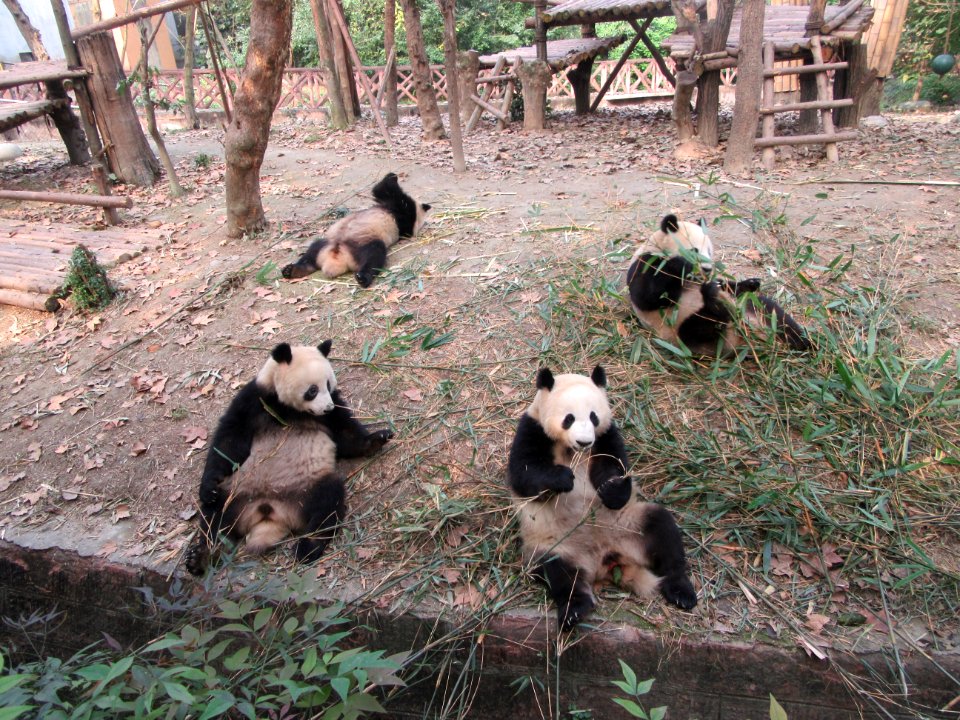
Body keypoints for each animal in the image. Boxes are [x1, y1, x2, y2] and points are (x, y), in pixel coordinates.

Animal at [184, 340, 394, 576]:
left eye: (328, 384)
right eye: (312, 390)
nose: (327, 407)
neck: (288, 409)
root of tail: (269, 512)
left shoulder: (330, 413)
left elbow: (345, 433)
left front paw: (378, 438)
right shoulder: (254, 400)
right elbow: (229, 441)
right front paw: (208, 487)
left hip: (306, 488)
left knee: (327, 502)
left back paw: (307, 547)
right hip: (237, 490)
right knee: (215, 517)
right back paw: (201, 557)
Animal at [282, 172, 432, 286]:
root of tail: (337, 259)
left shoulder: (404, 217)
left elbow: (388, 192)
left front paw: (393, 178)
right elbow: (381, 190)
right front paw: (393, 176)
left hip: (362, 245)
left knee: (374, 255)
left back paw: (363, 277)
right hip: (326, 243)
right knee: (312, 253)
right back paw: (291, 270)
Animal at [506, 368, 692, 628]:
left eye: (593, 416)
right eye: (569, 418)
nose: (584, 441)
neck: (573, 450)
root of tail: (604, 559)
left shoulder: (605, 434)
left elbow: (615, 465)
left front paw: (611, 489)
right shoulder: (533, 429)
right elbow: (524, 476)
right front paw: (563, 478)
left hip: (628, 525)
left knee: (662, 530)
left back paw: (681, 590)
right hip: (554, 543)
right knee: (558, 572)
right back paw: (575, 609)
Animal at [628, 212, 812, 356]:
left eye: (709, 251)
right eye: (694, 250)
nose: (707, 268)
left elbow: (727, 284)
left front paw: (750, 283)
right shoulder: (646, 263)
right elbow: (649, 296)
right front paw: (683, 266)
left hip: (753, 308)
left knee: (776, 315)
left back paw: (806, 344)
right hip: (678, 327)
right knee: (701, 327)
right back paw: (716, 301)